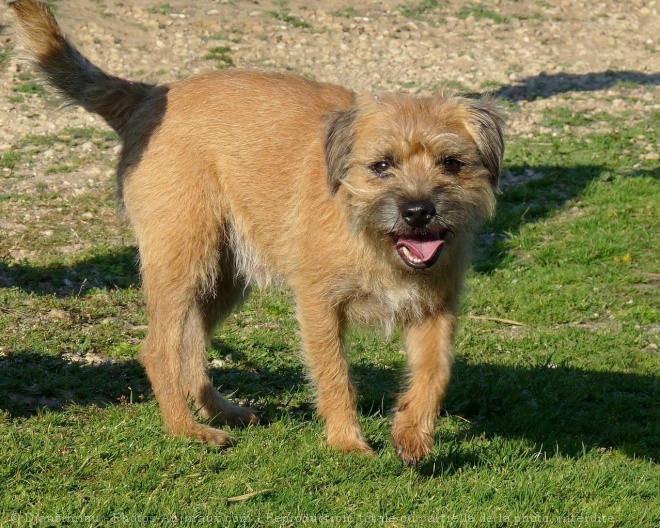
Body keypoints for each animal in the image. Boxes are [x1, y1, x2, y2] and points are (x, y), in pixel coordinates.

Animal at [10, 0, 502, 464]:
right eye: (382, 166)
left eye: (452, 164)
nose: (418, 212)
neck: (369, 237)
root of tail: (149, 96)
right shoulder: (319, 305)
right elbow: (334, 374)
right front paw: (347, 442)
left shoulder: (436, 309)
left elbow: (435, 372)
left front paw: (412, 433)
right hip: (182, 261)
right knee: (159, 350)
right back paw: (187, 429)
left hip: (224, 277)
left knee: (191, 348)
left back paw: (220, 410)